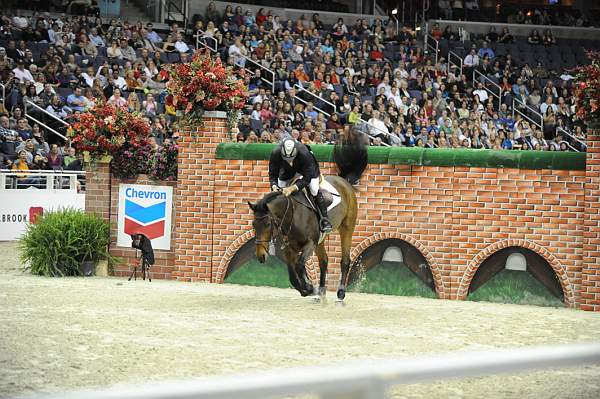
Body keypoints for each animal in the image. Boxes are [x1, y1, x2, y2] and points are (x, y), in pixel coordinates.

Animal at [246, 129, 368, 304]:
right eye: (253, 225)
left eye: (268, 224)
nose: (261, 256)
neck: (291, 215)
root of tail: (344, 181)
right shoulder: (289, 247)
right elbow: (292, 272)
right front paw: (307, 288)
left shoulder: (310, 243)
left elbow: (299, 265)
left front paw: (309, 287)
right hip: (321, 240)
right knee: (324, 261)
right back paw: (321, 293)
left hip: (346, 228)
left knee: (345, 261)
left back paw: (340, 294)